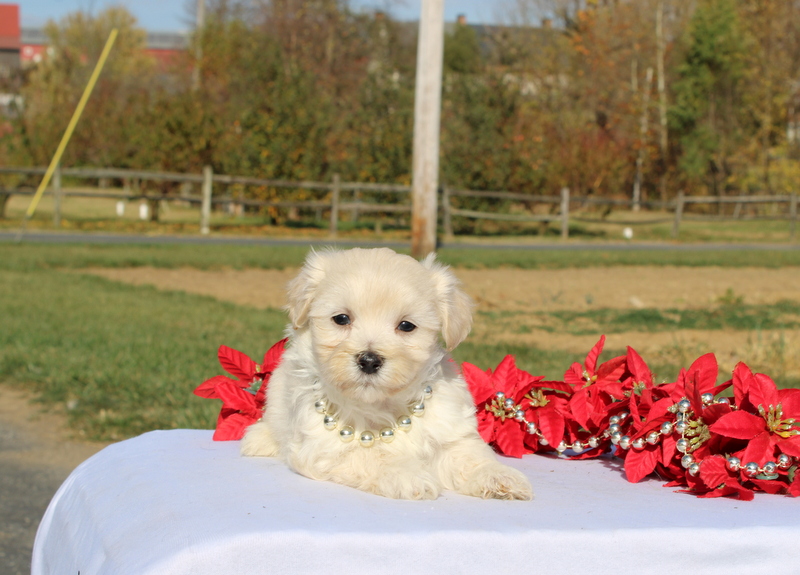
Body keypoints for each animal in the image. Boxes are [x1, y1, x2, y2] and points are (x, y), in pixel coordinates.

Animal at [241, 248, 536, 500]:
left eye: (406, 326)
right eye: (341, 319)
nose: (369, 360)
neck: (383, 406)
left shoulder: (451, 433)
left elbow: (468, 457)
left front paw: (498, 476)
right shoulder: (324, 448)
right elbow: (372, 455)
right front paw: (408, 475)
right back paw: (259, 439)